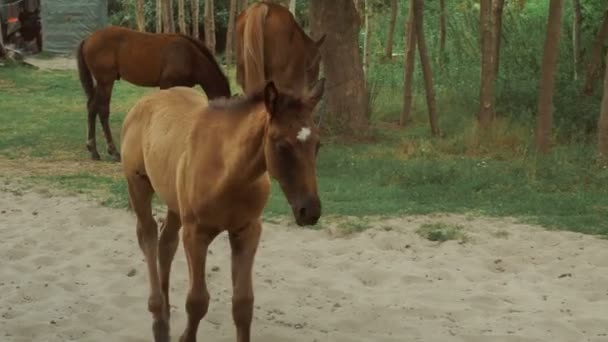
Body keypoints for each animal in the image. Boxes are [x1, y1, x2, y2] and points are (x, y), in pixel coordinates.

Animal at [76, 25, 228, 162]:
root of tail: (88, 39)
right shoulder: (167, 84)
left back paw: (93, 150)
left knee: (92, 107)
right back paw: (113, 152)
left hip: (101, 82)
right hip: (106, 81)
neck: (190, 56)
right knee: (102, 110)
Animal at [120, 77, 326, 342]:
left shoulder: (247, 231)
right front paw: (185, 337)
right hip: (138, 185)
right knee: (148, 236)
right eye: (282, 146)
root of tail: (147, 100)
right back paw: (158, 318)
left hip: (174, 201)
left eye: (317, 144)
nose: (309, 211)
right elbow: (197, 302)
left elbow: (243, 304)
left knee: (166, 244)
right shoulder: (195, 234)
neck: (229, 174)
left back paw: (164, 316)